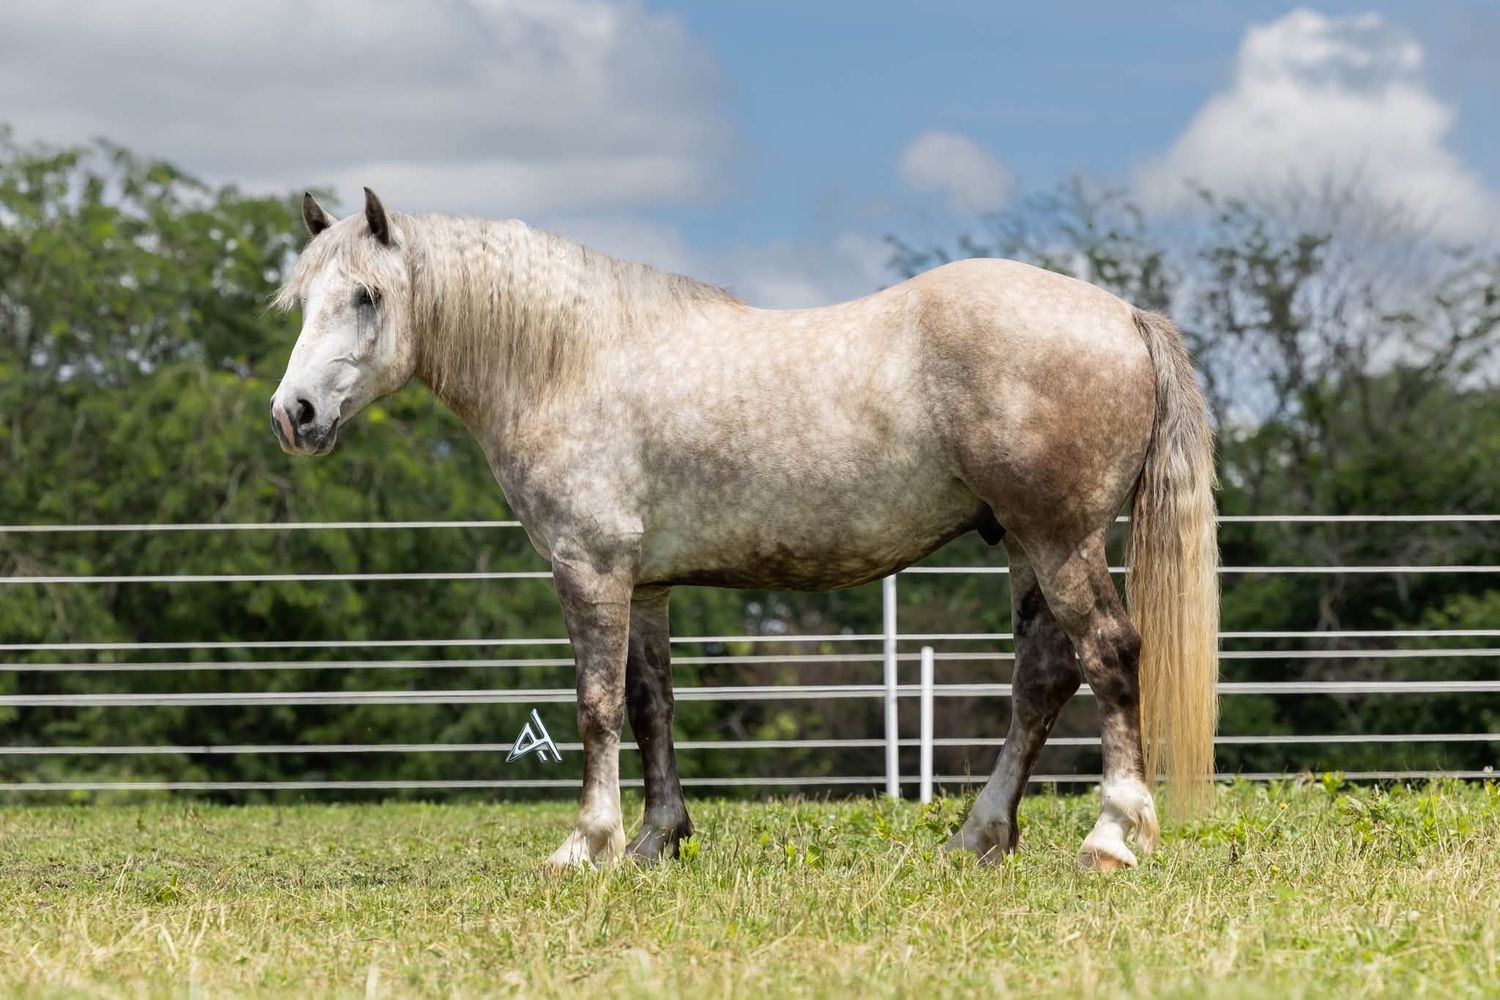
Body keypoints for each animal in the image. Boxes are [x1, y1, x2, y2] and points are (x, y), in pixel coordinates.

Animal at [270, 188, 1219, 872]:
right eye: (302, 300)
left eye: (367, 296)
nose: (294, 414)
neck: (570, 363)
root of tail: (1124, 316)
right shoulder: (646, 583)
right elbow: (650, 704)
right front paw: (656, 838)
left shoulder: (589, 569)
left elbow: (595, 705)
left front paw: (587, 843)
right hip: (1025, 545)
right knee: (1042, 678)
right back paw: (978, 836)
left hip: (1061, 539)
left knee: (1109, 656)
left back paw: (1110, 836)